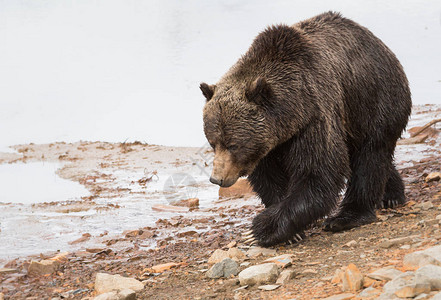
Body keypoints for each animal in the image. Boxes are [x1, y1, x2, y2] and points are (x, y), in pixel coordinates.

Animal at [199, 11, 412, 246]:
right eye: (213, 143)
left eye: (234, 145)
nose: (217, 178)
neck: (291, 114)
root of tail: (381, 45)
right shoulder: (269, 144)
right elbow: (269, 179)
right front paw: (292, 231)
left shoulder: (315, 116)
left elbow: (318, 173)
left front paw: (259, 230)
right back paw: (391, 194)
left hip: (374, 99)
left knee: (371, 154)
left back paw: (349, 215)